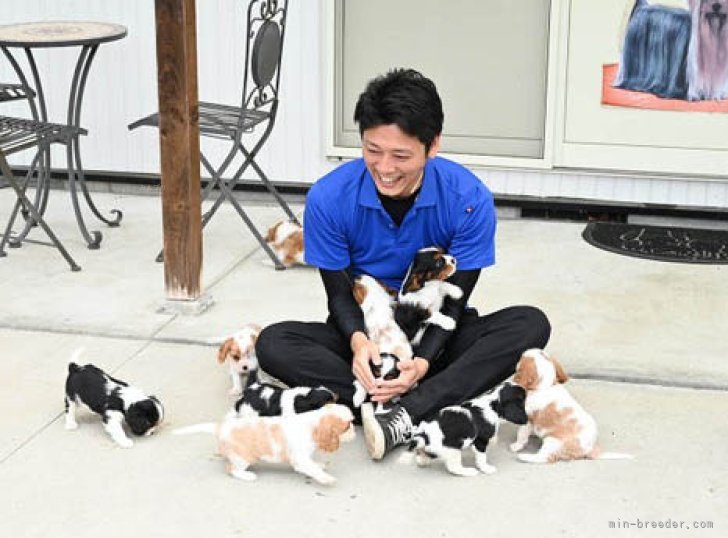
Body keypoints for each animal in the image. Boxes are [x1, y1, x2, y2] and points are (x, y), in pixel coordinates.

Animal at [173, 400, 356, 484]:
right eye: (347, 426)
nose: (354, 433)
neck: (313, 423)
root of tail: (222, 427)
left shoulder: (305, 456)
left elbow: (313, 464)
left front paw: (320, 465)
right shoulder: (300, 459)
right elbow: (311, 468)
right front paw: (326, 478)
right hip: (243, 458)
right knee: (231, 469)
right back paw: (247, 476)